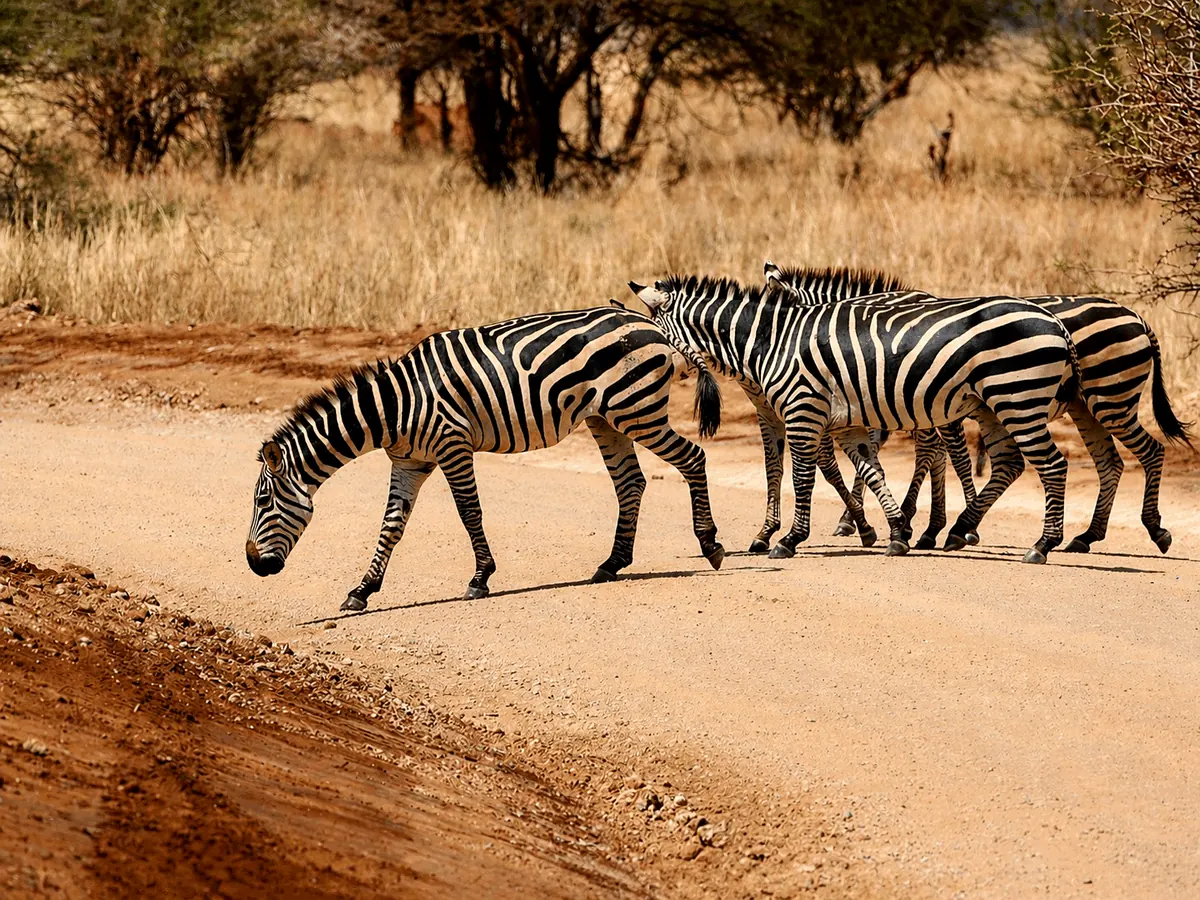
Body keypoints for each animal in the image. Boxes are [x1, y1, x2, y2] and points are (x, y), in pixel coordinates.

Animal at [245, 306, 726, 611]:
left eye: (263, 502)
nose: (253, 565)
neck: (394, 408)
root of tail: (651, 323)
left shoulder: (452, 445)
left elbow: (468, 512)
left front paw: (480, 579)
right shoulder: (409, 462)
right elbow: (391, 526)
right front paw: (362, 590)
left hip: (637, 408)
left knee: (693, 458)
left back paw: (710, 544)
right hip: (607, 417)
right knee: (630, 482)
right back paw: (612, 564)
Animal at [628, 274, 1082, 563]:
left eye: (653, 336)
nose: (646, 372)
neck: (772, 342)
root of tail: (1054, 320)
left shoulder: (802, 412)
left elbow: (804, 478)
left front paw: (789, 539)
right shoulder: (844, 422)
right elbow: (871, 471)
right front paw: (896, 532)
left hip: (1018, 399)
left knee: (1052, 465)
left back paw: (1043, 544)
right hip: (994, 405)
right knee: (1009, 464)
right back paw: (959, 529)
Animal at [764, 262, 1192, 554]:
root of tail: (1136, 316)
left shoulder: (924, 403)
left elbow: (941, 456)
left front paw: (936, 525)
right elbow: (914, 457)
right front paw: (910, 523)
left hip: (1109, 399)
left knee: (1149, 452)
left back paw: (1153, 529)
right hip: (1086, 407)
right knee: (1112, 463)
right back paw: (1087, 536)